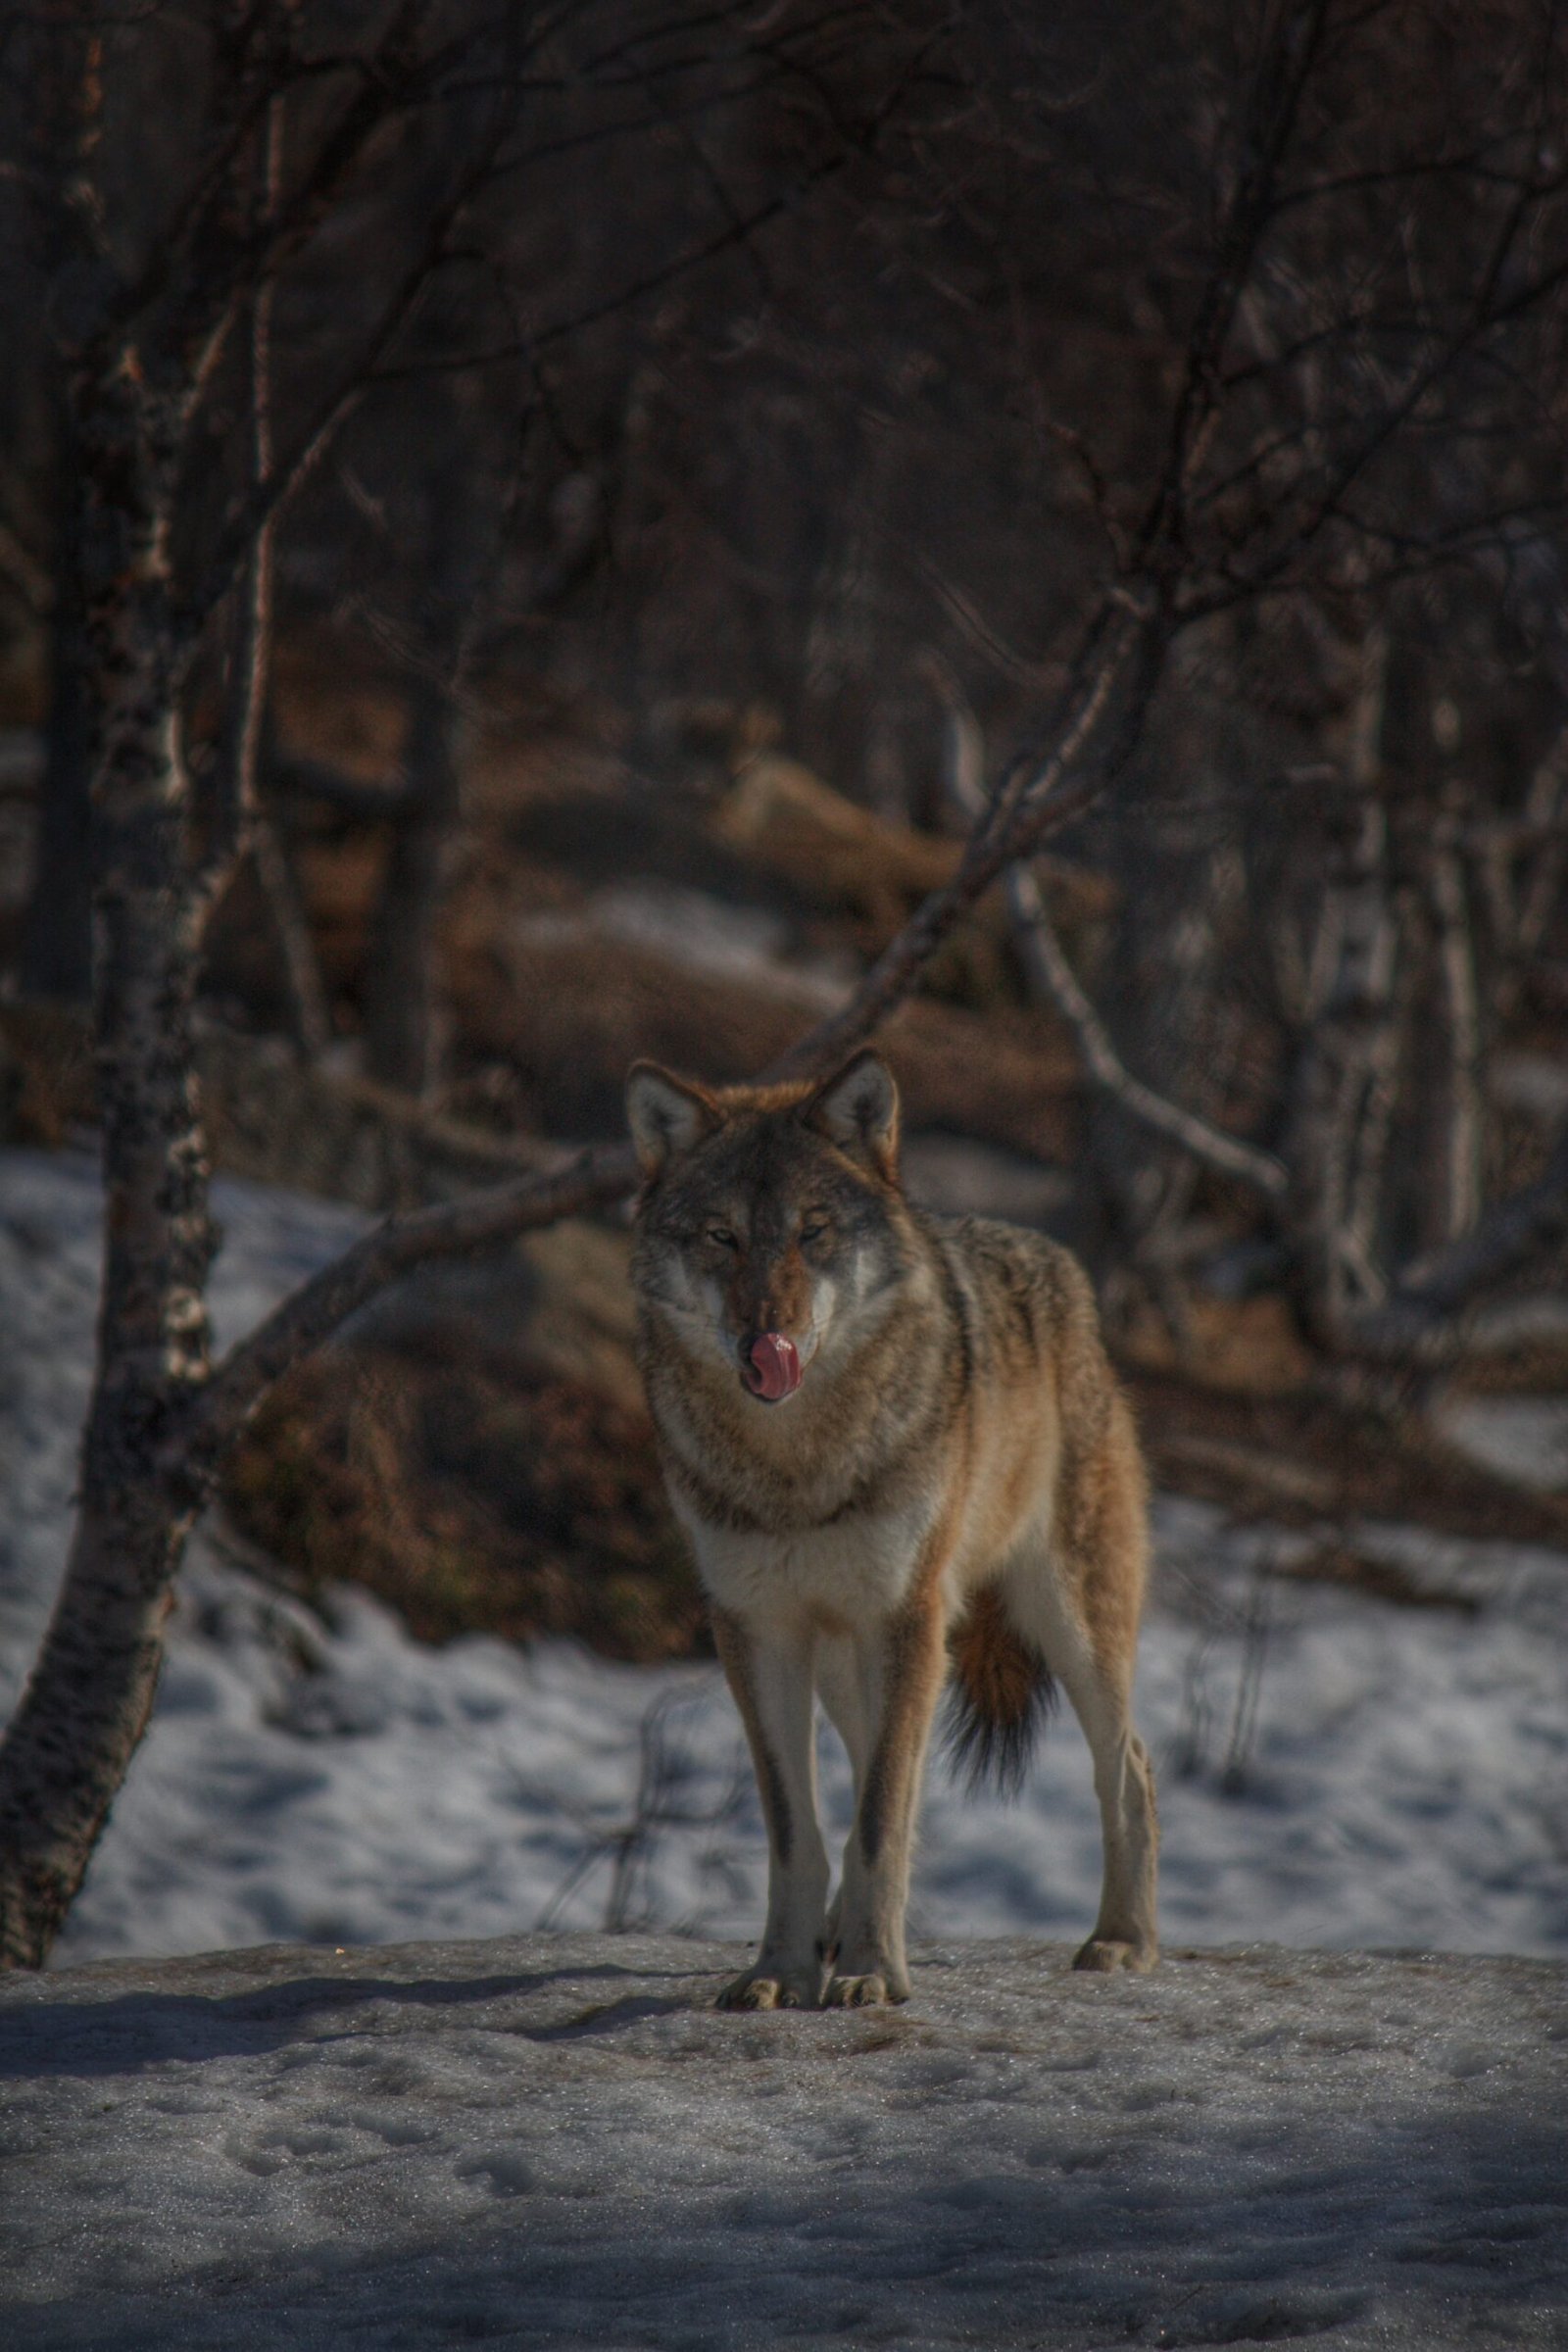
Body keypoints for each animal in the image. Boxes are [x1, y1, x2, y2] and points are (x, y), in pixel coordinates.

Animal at [626, 1048, 1158, 2009]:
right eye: (722, 1237)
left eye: (813, 1232)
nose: (764, 1341)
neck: (796, 1469)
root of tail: (1060, 1263)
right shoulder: (756, 1629)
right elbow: (798, 1827)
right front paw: (781, 1971)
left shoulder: (905, 1618)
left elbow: (878, 1820)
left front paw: (874, 1972)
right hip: (855, 1662)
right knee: (889, 1777)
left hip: (1064, 1623)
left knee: (1129, 1767)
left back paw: (1123, 1940)